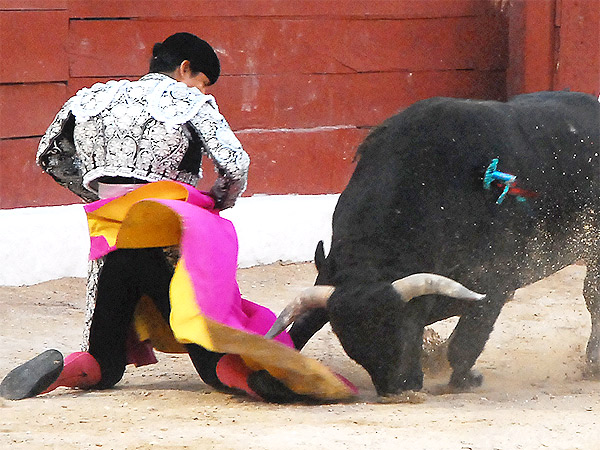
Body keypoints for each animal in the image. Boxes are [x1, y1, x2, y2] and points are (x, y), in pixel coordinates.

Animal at [268, 91, 600, 398]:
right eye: (353, 347)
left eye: (406, 330)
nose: (400, 389)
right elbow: (300, 327)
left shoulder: (495, 284)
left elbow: (464, 344)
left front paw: (465, 380)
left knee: (592, 295)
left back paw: (592, 364)